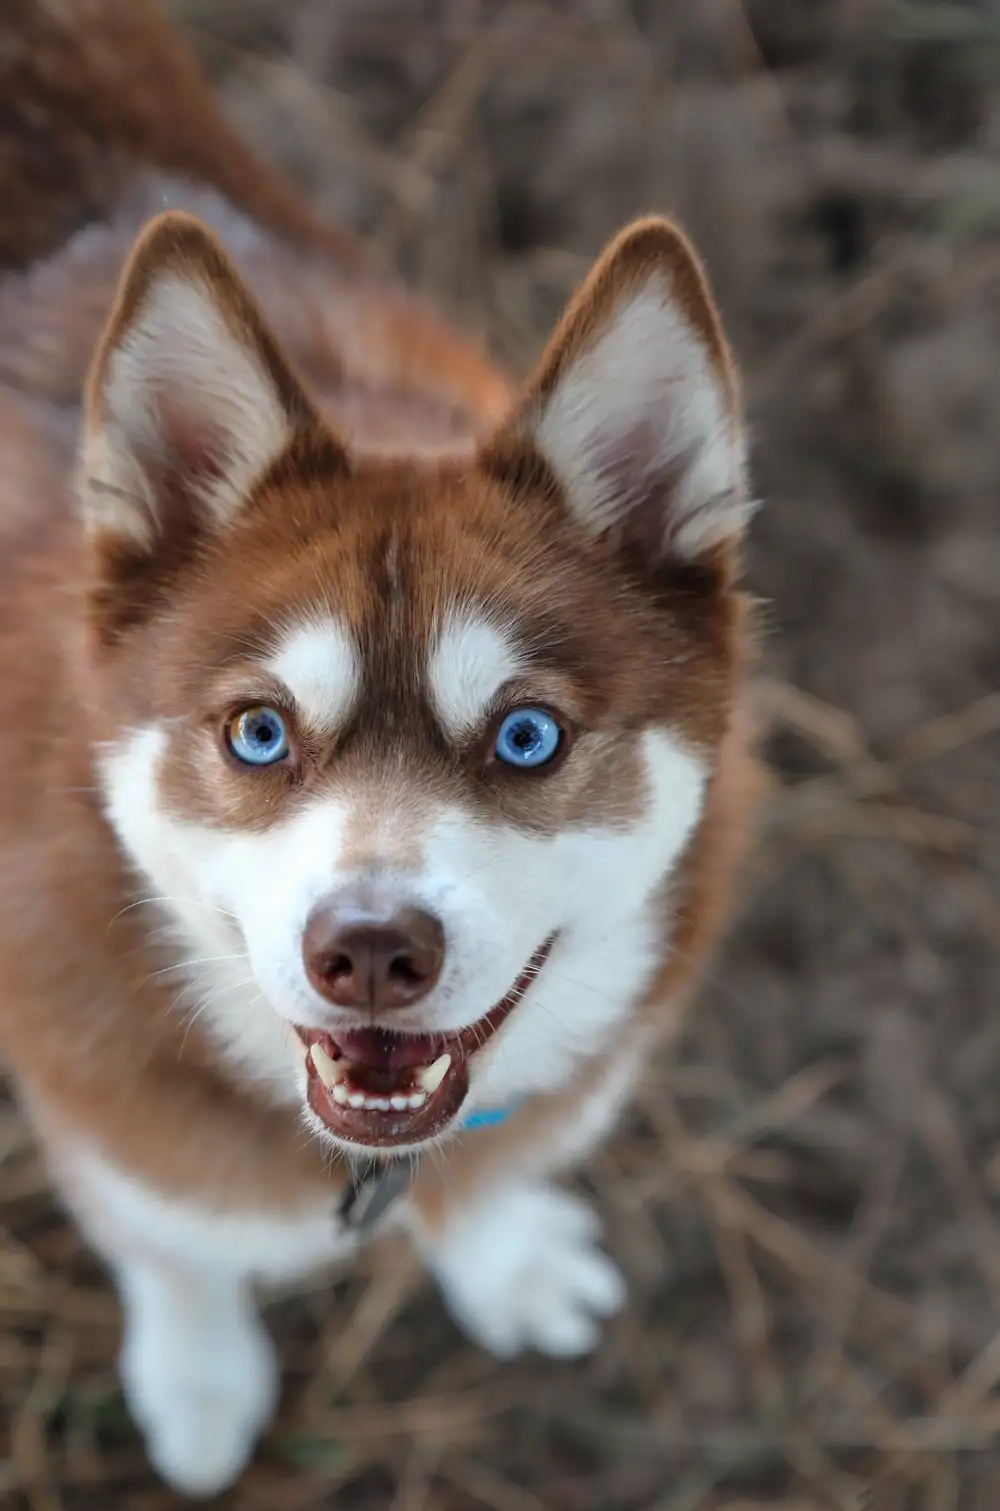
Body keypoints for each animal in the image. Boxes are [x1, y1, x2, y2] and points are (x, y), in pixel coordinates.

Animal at [0, 0, 761, 1492]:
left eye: (526, 733)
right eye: (258, 730)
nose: (367, 948)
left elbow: (498, 1162)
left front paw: (503, 1255)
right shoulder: (102, 1094)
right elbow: (168, 1237)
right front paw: (198, 1370)